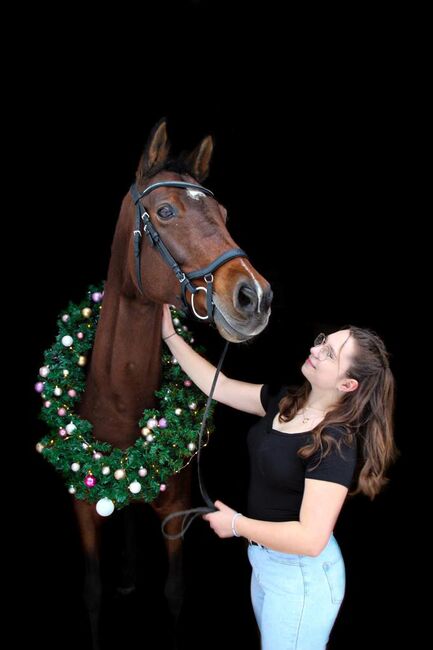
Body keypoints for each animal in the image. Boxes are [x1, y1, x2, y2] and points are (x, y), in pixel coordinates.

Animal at [73, 120, 272, 644]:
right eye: (165, 211)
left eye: (223, 213)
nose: (255, 296)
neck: (122, 403)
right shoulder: (84, 510)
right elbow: (92, 593)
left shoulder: (178, 513)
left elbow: (176, 593)